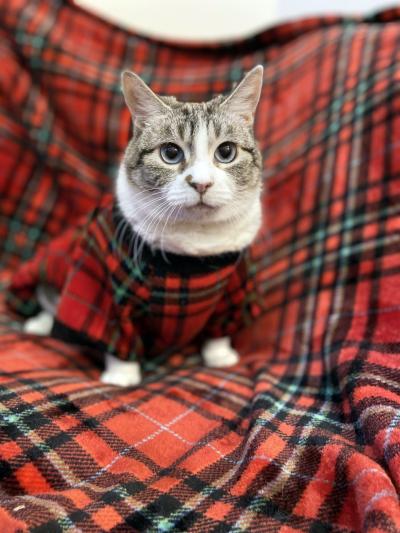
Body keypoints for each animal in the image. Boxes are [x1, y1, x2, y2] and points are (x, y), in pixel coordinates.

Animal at [23, 64, 264, 384]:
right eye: (170, 153)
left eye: (226, 152)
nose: (201, 183)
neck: (194, 248)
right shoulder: (103, 289)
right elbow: (113, 333)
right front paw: (122, 377)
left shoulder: (235, 288)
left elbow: (221, 328)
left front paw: (220, 356)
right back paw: (38, 324)